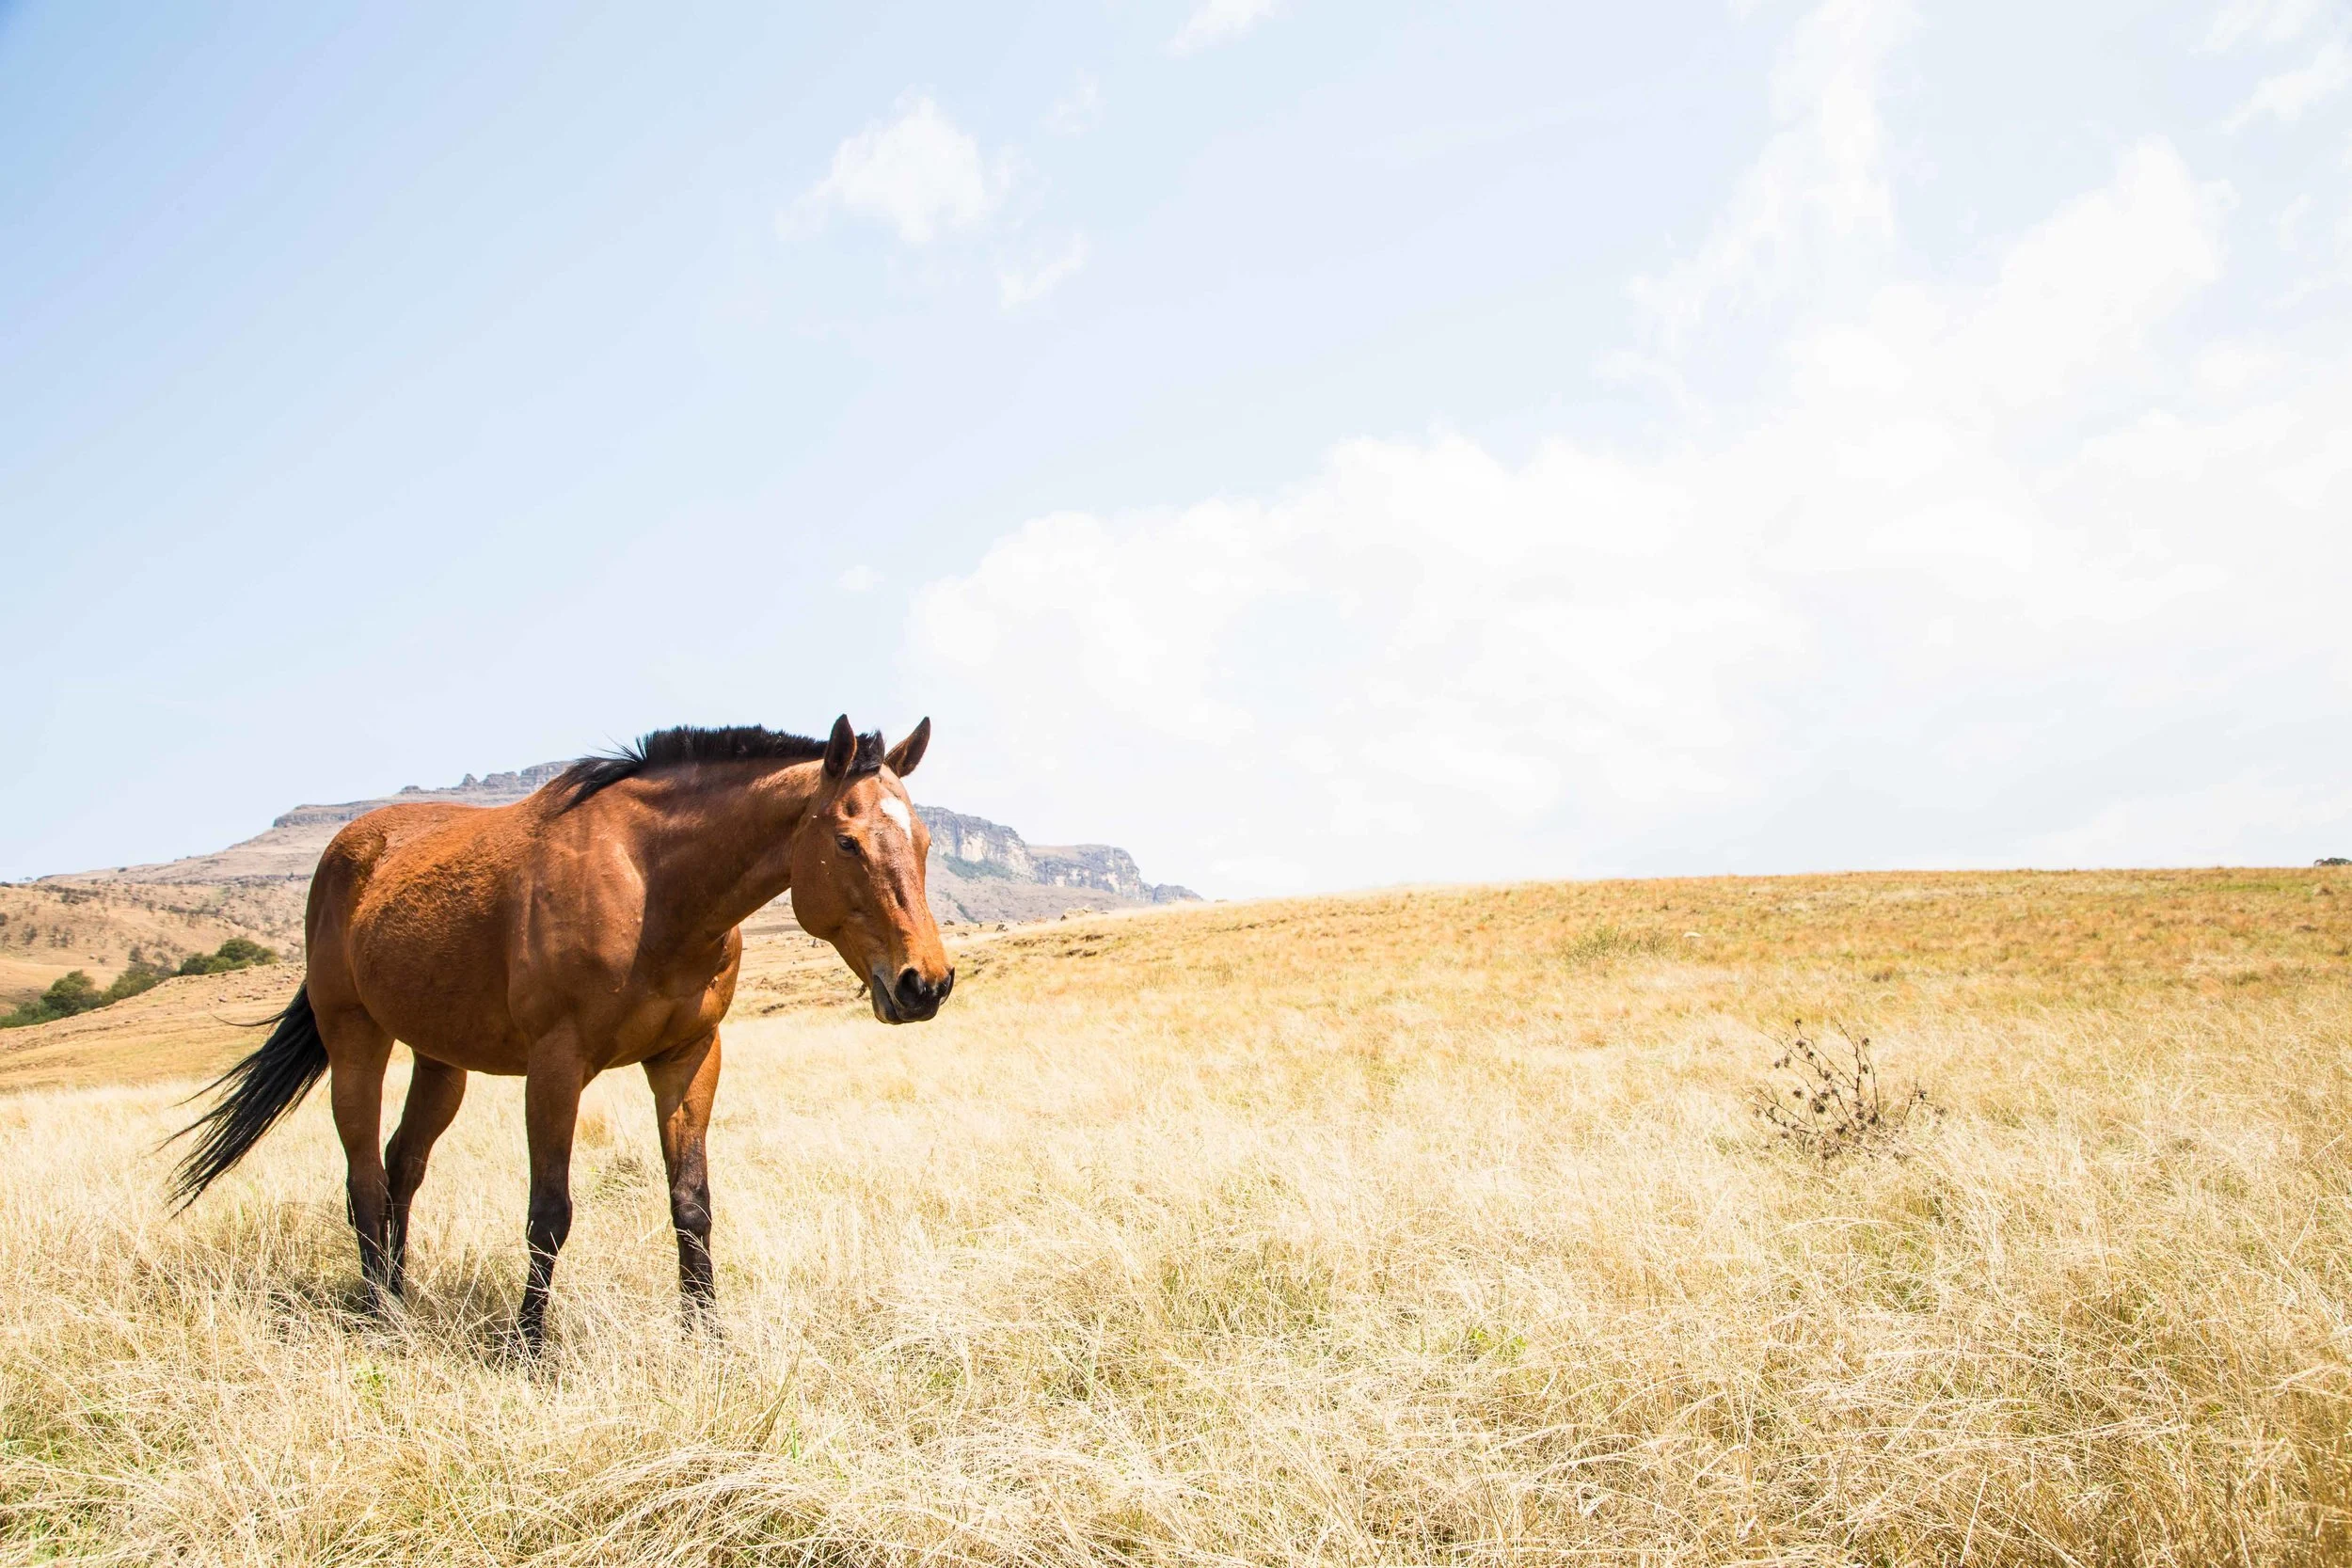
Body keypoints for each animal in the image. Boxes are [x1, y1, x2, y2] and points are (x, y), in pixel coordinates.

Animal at [168, 715, 952, 1347]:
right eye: (847, 842)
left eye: (923, 840)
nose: (925, 982)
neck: (652, 886)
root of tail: (347, 850)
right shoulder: (556, 1064)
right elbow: (549, 1211)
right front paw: (527, 1346)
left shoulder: (689, 1057)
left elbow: (691, 1204)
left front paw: (707, 1337)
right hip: (356, 1039)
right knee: (362, 1175)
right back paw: (378, 1314)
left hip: (440, 1061)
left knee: (401, 1167)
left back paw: (398, 1292)